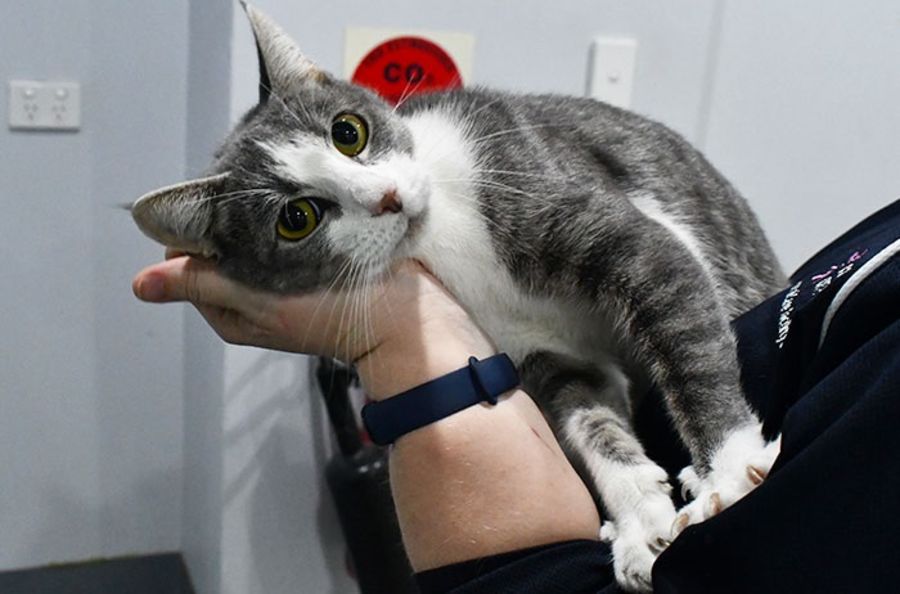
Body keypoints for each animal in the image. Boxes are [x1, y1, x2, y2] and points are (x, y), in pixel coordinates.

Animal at [132, 4, 784, 591]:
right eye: (297, 218)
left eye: (348, 132)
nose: (387, 198)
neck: (444, 236)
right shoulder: (541, 352)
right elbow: (590, 420)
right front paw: (640, 524)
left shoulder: (602, 221)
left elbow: (686, 339)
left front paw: (727, 473)